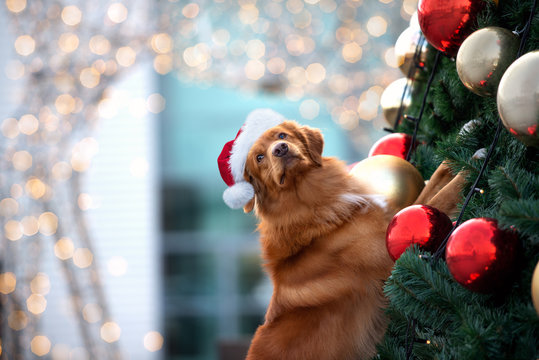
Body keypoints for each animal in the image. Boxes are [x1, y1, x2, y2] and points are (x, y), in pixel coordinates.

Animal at [236, 119, 464, 358]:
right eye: (259, 158)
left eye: (282, 135)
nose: (280, 149)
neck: (311, 199)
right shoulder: (393, 256)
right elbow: (442, 196)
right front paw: (470, 168)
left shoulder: (392, 220)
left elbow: (434, 184)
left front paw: (464, 137)